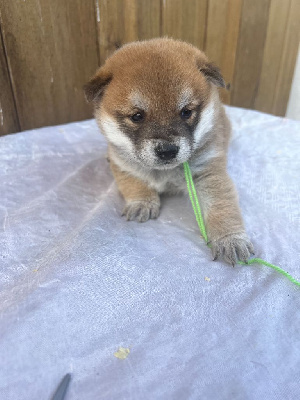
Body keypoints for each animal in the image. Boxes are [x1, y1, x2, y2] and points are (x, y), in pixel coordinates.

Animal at [84, 38, 253, 266]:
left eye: (186, 112)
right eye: (137, 116)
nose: (167, 151)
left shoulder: (209, 173)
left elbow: (222, 207)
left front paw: (230, 239)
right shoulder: (123, 165)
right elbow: (135, 184)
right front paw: (142, 203)